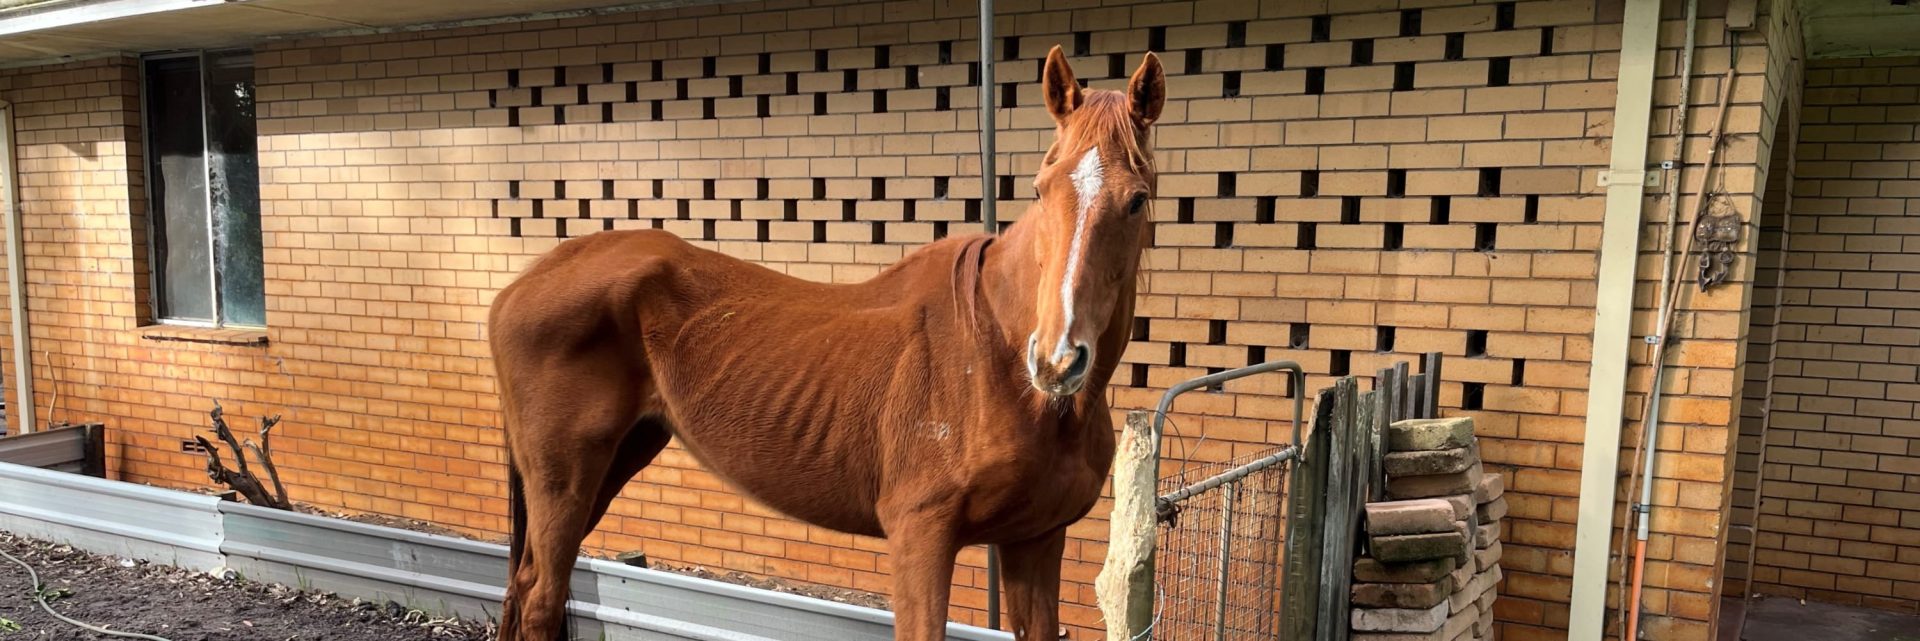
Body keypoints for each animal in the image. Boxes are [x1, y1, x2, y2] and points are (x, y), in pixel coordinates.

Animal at [487, 46, 1164, 641]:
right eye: (1042, 188)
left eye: (1137, 199)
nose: (1056, 360)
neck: (995, 358)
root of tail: (525, 282)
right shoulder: (922, 536)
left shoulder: (1036, 540)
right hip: (565, 478)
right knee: (542, 599)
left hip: (617, 458)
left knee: (525, 589)